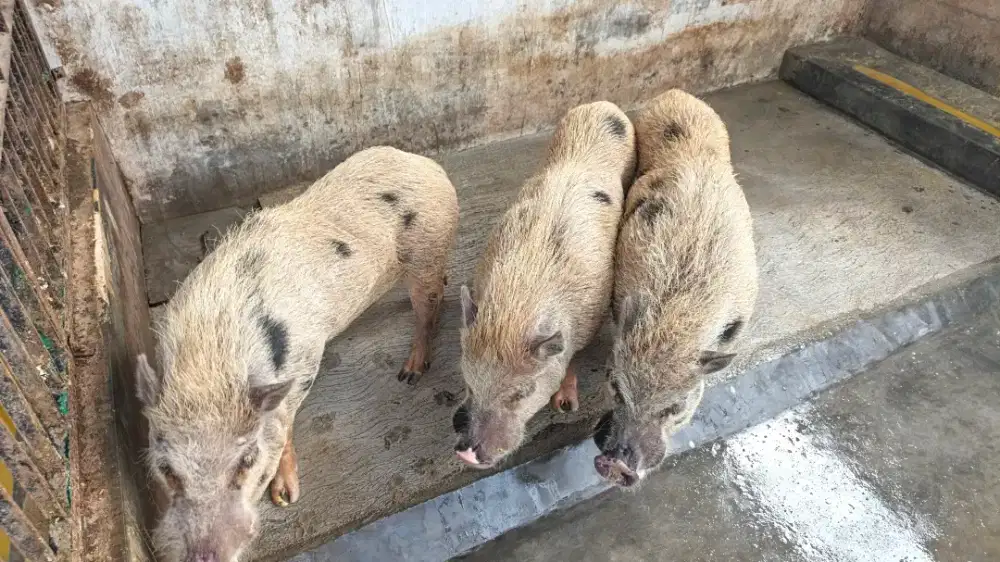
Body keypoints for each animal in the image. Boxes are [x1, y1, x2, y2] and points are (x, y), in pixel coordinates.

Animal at [134, 146, 459, 562]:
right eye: (167, 469)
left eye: (246, 460)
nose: (207, 555)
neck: (210, 365)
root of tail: (428, 165)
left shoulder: (305, 362)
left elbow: (285, 423)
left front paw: (287, 498)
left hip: (427, 247)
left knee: (429, 304)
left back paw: (410, 372)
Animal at [453, 102, 636, 469]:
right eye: (469, 382)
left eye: (521, 393)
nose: (466, 453)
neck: (517, 301)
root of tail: (602, 105)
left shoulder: (592, 317)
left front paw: (565, 405)